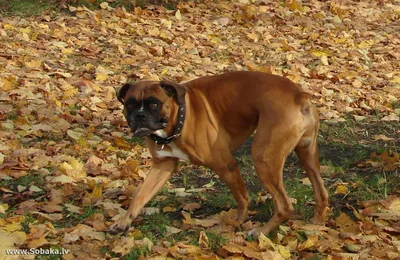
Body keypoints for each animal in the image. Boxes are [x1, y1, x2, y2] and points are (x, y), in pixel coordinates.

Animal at [107, 70, 328, 237]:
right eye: (129, 104)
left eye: (154, 104)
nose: (140, 115)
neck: (179, 116)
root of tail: (299, 95)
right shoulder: (163, 166)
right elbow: (140, 196)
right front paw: (123, 223)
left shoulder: (225, 165)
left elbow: (242, 197)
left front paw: (237, 220)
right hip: (307, 155)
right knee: (321, 193)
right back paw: (316, 223)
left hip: (263, 158)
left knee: (284, 206)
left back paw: (260, 232)